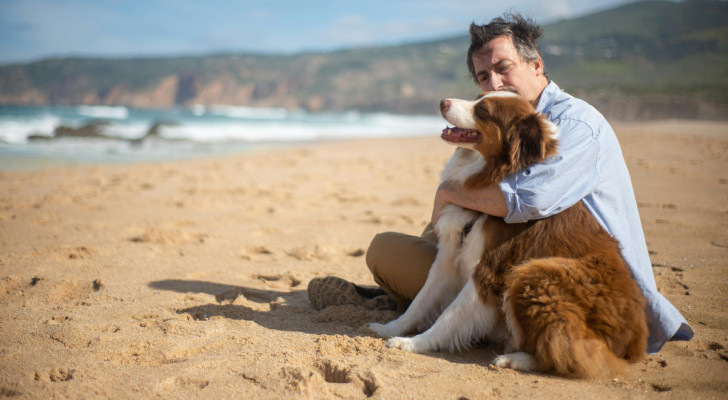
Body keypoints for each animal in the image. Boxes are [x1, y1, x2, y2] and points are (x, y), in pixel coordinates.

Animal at [370, 90, 648, 378]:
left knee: (569, 351)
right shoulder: (449, 256)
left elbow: (451, 314)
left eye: (483, 110)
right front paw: (392, 329)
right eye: (477, 96)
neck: (489, 172)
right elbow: (422, 300)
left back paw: (515, 359)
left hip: (535, 273)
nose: (442, 102)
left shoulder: (489, 269)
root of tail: (635, 345)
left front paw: (415, 343)